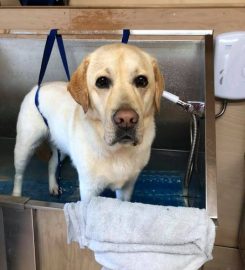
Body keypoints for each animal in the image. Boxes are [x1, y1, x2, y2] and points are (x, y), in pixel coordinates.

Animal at [12, 43, 164, 200]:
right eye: (102, 81)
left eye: (141, 81)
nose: (126, 119)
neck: (116, 151)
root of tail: (37, 88)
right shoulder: (89, 190)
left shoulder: (126, 188)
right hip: (24, 147)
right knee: (18, 175)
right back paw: (16, 196)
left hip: (61, 147)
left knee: (51, 164)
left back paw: (53, 186)